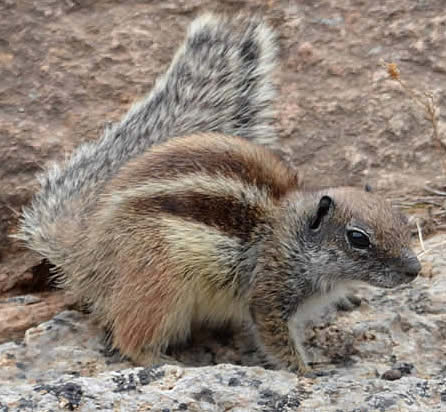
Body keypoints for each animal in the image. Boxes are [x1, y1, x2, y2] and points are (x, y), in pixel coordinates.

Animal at [16, 12, 422, 374]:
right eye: (358, 238)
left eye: (404, 222)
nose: (415, 270)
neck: (288, 232)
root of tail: (84, 252)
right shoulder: (268, 292)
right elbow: (276, 338)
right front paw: (308, 373)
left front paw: (348, 300)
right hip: (157, 284)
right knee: (131, 335)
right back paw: (163, 361)